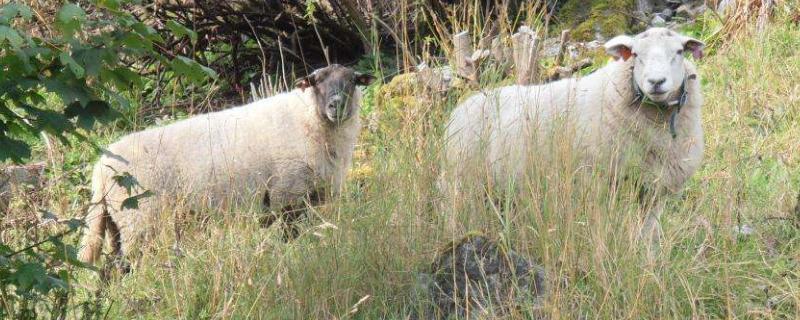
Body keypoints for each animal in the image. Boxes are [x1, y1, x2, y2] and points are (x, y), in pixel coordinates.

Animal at [78, 63, 376, 264]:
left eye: (352, 81)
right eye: (316, 82)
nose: (336, 105)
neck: (309, 119)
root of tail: (100, 170)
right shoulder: (286, 195)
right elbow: (290, 237)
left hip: (116, 222)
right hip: (139, 219)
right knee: (126, 265)